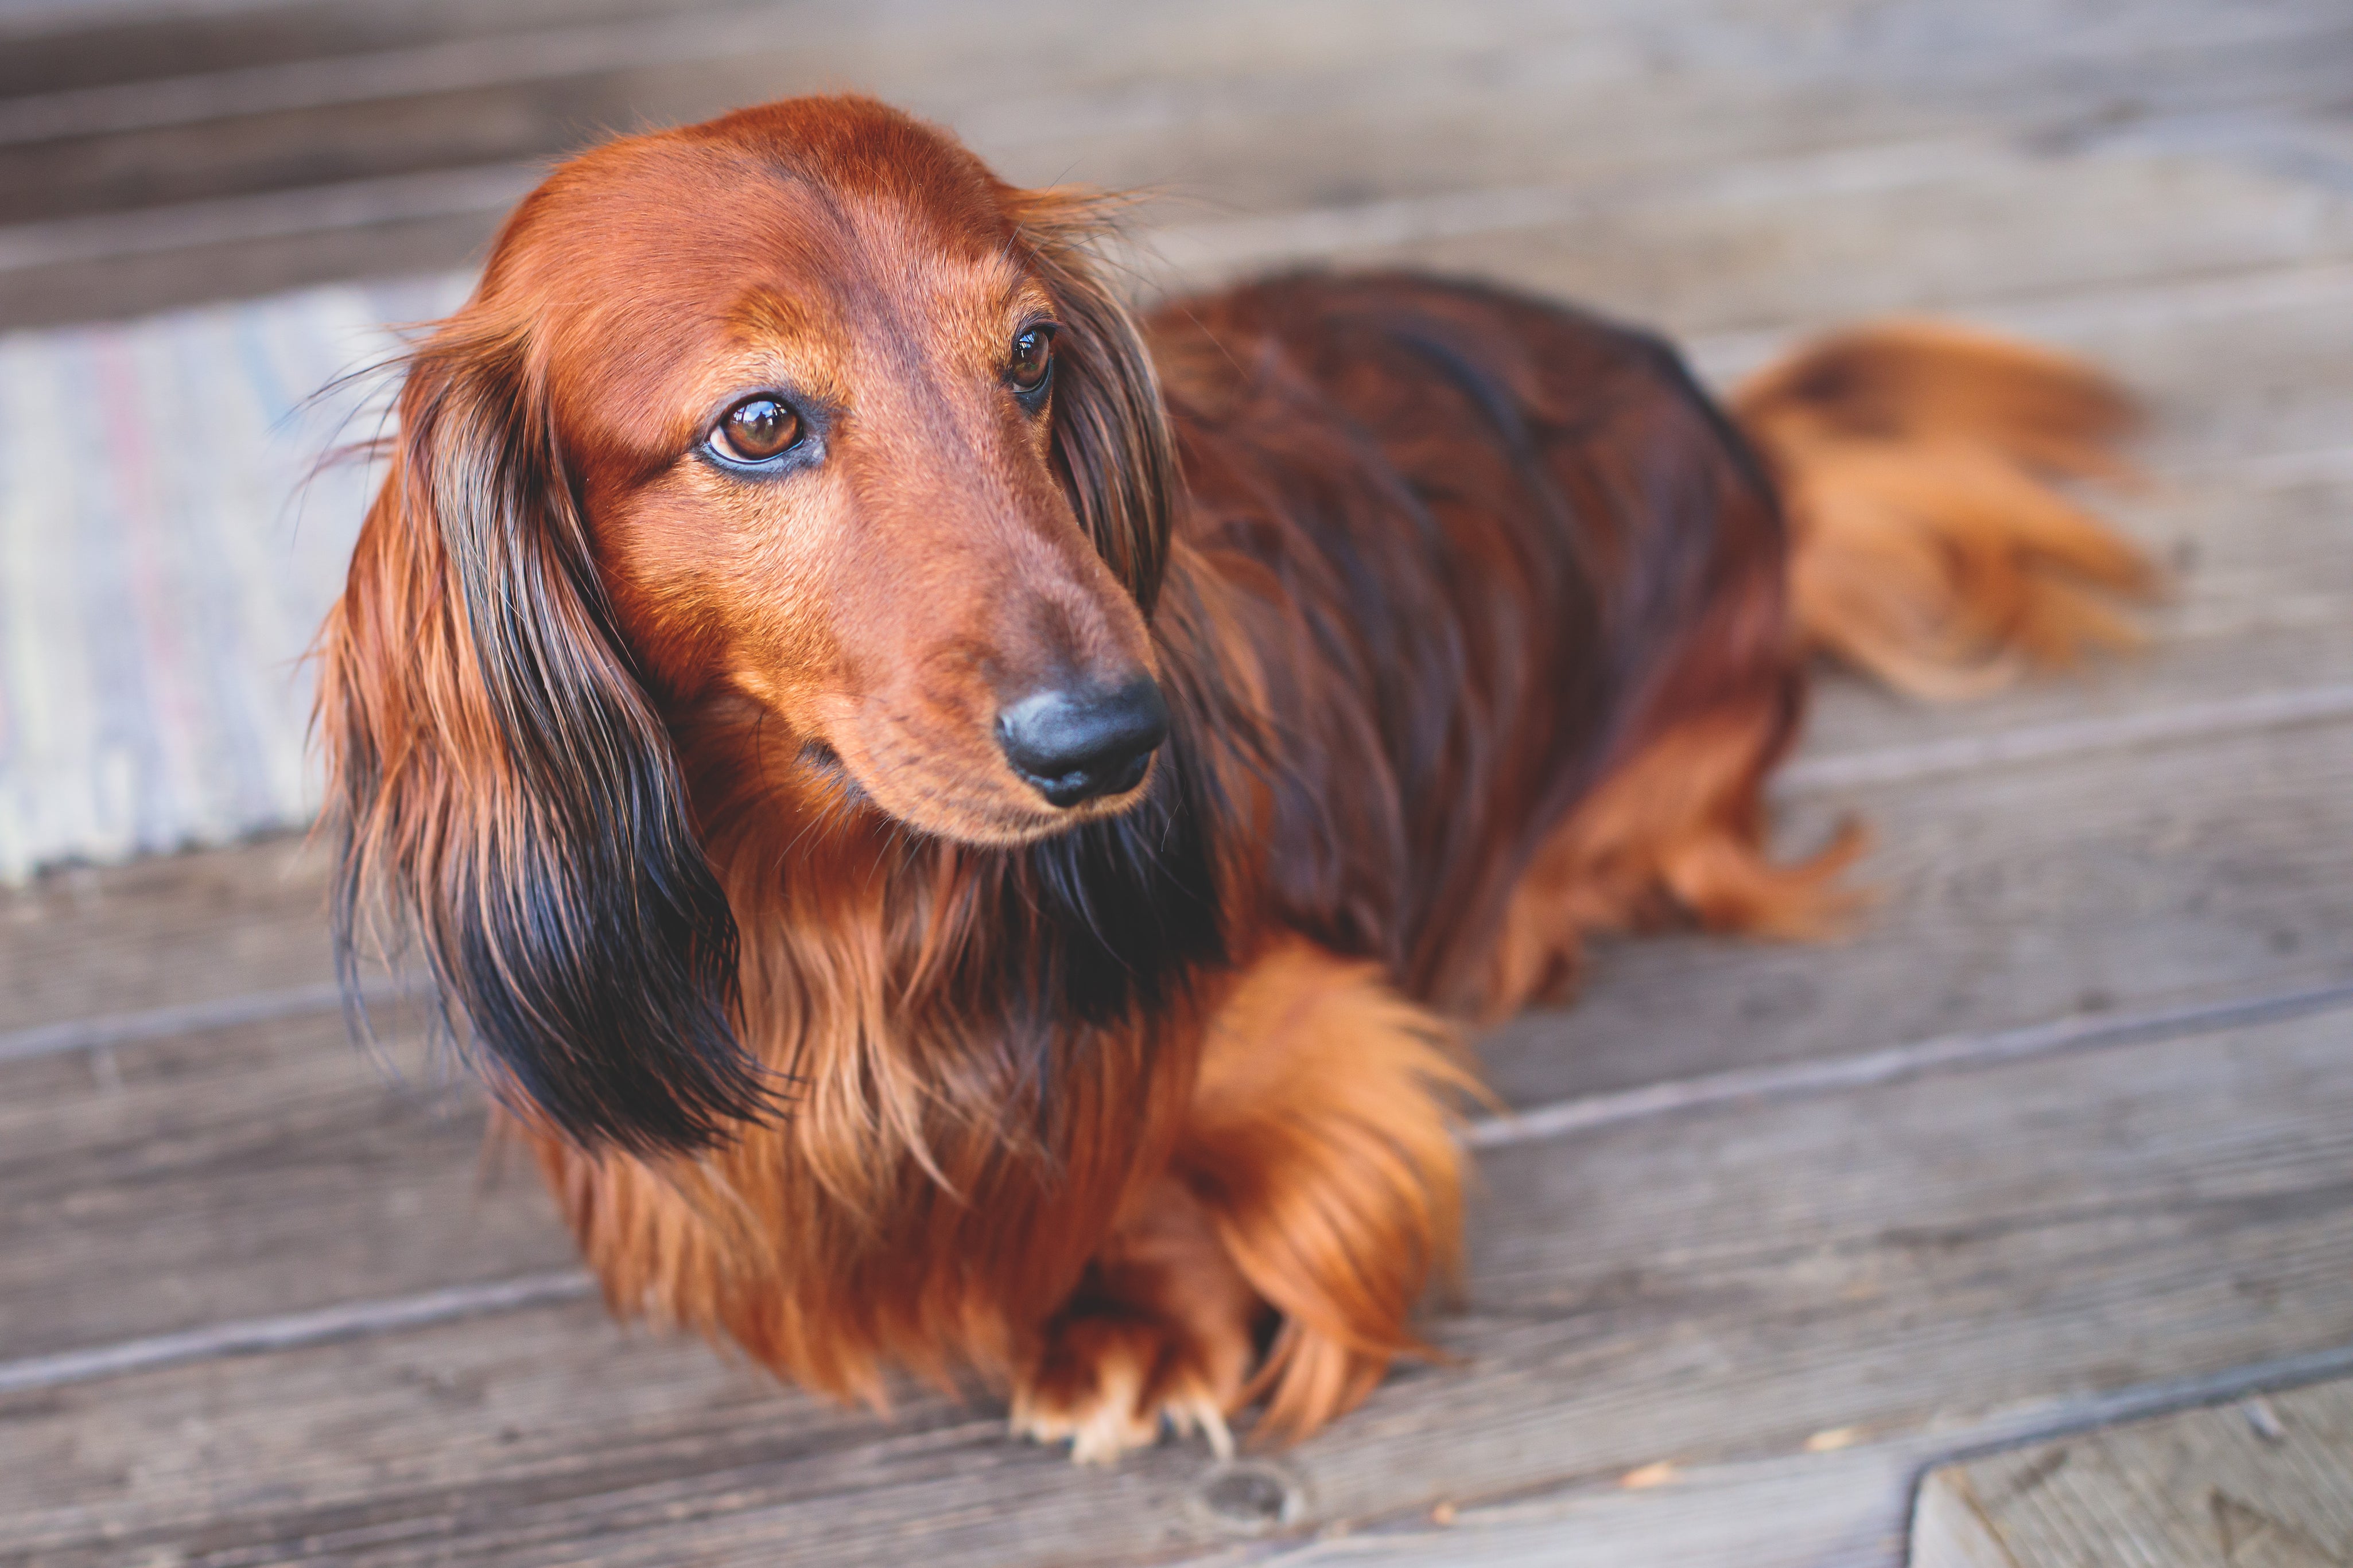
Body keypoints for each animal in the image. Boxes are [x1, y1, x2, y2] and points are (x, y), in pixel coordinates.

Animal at [317, 92, 2155, 1466]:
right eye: (758, 425)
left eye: (1030, 357)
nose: (1113, 743)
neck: (847, 909)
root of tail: (1738, 440)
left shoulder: (1294, 1016)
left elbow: (1179, 1139)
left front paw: (1142, 1320)